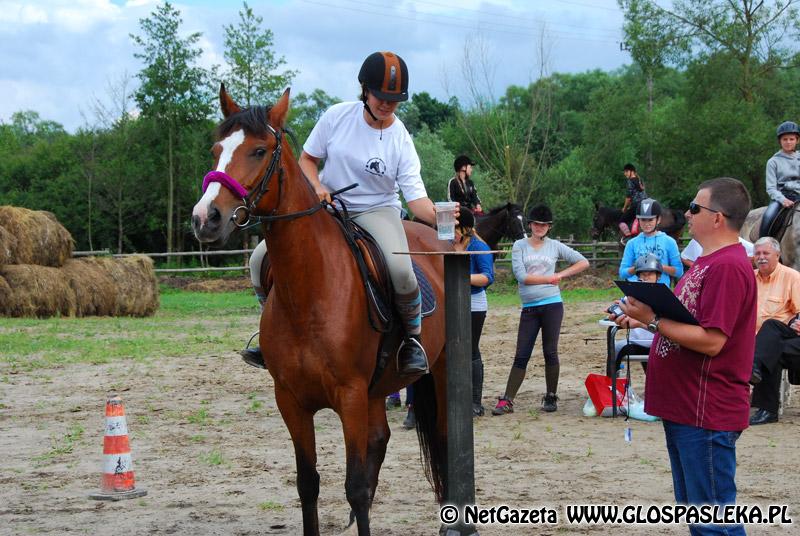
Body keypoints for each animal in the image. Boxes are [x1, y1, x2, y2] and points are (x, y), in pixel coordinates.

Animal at [190, 86, 446, 532]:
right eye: (216, 149)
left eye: (259, 150)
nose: (206, 218)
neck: (309, 291)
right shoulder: (291, 400)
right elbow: (307, 483)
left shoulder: (350, 396)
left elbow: (355, 485)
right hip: (376, 389)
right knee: (380, 439)